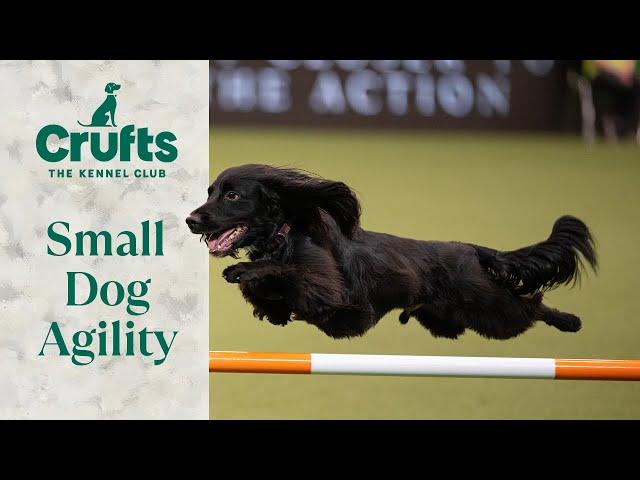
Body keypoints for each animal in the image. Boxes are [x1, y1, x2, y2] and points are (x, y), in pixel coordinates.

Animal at [188, 165, 596, 342]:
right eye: (211, 192)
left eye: (232, 195)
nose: (192, 220)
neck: (286, 234)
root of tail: (469, 248)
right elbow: (269, 294)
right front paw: (272, 309)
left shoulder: (328, 290)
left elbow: (283, 271)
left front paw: (240, 272)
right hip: (446, 319)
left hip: (488, 307)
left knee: (529, 305)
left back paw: (570, 321)